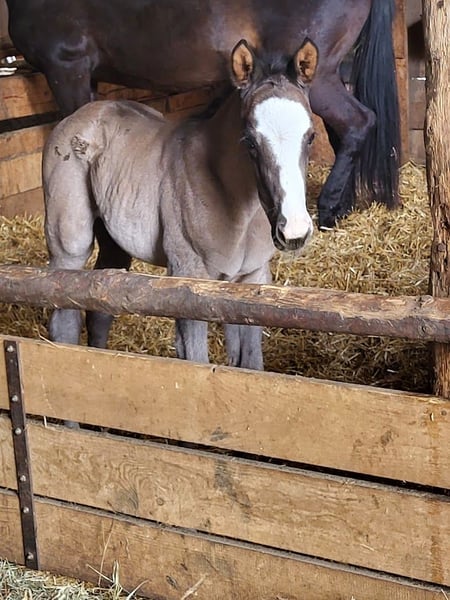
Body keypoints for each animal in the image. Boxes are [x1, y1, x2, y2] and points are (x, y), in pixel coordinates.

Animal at [6, 0, 400, 229]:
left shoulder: (67, 69)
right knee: (342, 131)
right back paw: (342, 207)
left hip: (316, 76)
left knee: (359, 123)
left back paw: (329, 209)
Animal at [43, 39, 317, 370]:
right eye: (250, 141)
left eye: (311, 136)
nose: (294, 232)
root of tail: (77, 116)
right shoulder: (187, 282)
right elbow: (195, 360)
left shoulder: (251, 281)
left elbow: (249, 362)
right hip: (69, 245)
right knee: (64, 318)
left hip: (113, 241)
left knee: (99, 305)